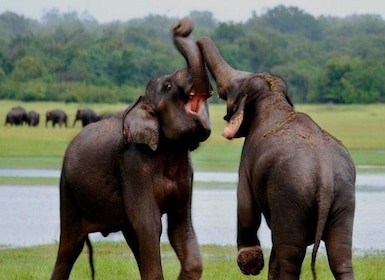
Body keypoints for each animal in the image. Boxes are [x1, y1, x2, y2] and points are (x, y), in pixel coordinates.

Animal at [49, 18, 212, 280]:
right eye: (168, 86)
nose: (179, 25)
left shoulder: (186, 172)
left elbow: (180, 226)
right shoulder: (133, 165)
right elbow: (150, 224)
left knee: (131, 237)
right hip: (67, 189)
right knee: (70, 245)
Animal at [196, 37, 356, 280]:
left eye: (228, 91)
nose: (181, 30)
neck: (273, 97)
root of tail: (325, 178)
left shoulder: (247, 159)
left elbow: (245, 203)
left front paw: (250, 265)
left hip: (290, 196)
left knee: (289, 255)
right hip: (345, 199)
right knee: (340, 256)